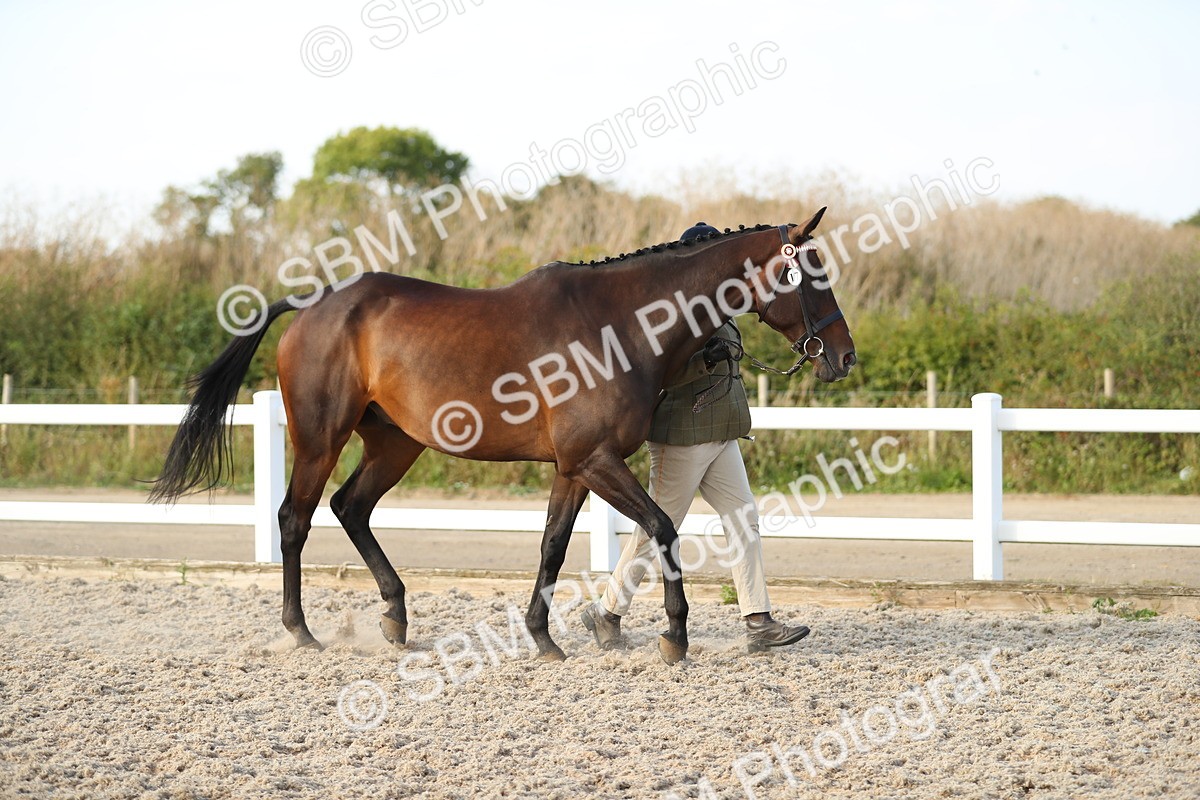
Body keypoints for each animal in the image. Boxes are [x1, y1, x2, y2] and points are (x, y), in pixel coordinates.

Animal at [151, 209, 855, 664]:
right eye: (811, 275)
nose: (843, 357)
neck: (619, 324)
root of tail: (311, 304)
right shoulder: (594, 460)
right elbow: (661, 528)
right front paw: (674, 637)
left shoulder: (574, 467)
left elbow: (552, 546)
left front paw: (544, 639)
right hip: (321, 438)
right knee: (295, 518)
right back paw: (301, 632)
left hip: (395, 443)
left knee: (351, 507)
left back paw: (395, 617)